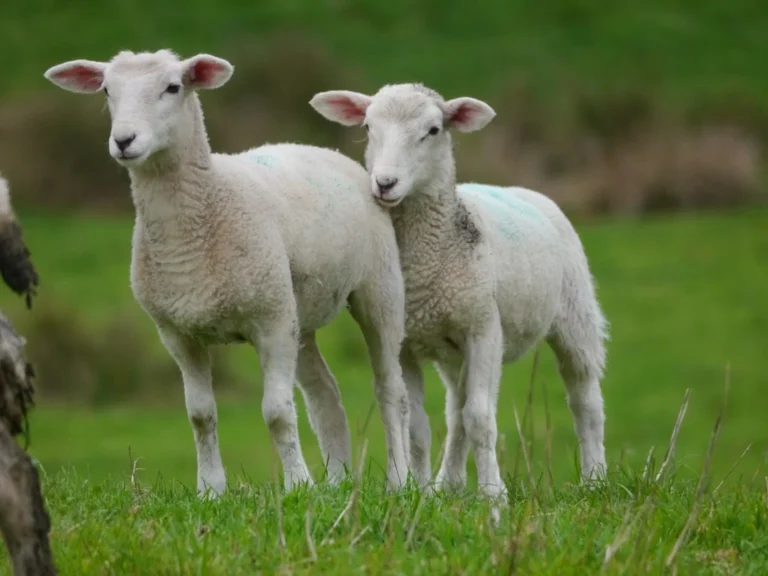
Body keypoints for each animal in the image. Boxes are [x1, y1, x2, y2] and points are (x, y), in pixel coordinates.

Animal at [43, 50, 412, 495]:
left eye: (173, 87)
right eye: (106, 91)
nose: (124, 141)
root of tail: (319, 148)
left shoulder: (271, 323)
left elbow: (277, 412)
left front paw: (297, 485)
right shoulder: (177, 334)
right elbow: (200, 414)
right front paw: (211, 490)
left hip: (377, 289)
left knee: (390, 389)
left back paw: (399, 479)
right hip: (296, 311)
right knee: (325, 392)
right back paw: (336, 480)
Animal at [310, 84, 609, 500]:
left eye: (433, 130)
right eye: (368, 126)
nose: (385, 183)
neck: (427, 262)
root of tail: (523, 191)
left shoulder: (483, 330)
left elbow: (481, 418)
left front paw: (493, 494)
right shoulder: (406, 343)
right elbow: (419, 425)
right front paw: (420, 492)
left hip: (575, 313)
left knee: (585, 399)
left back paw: (595, 479)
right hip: (452, 351)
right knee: (456, 410)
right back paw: (446, 483)